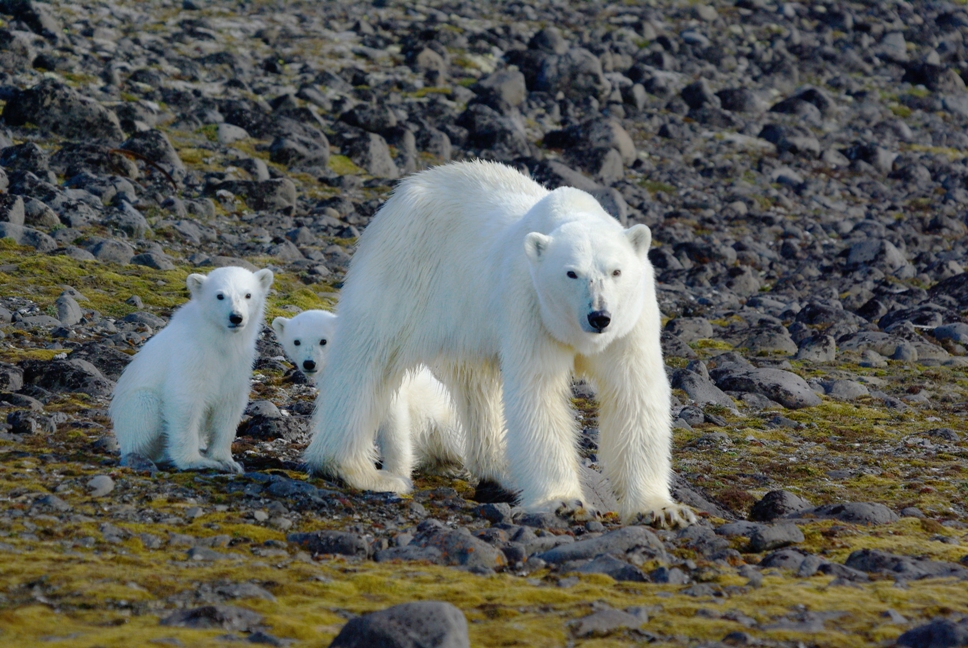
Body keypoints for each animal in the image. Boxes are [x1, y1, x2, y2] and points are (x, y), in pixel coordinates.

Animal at [306, 161, 692, 528]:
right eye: (571, 272)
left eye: (616, 271)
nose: (599, 316)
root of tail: (406, 189)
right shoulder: (530, 304)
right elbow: (538, 393)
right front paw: (565, 503)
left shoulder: (632, 321)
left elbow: (634, 393)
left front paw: (660, 509)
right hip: (405, 269)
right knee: (367, 361)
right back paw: (359, 471)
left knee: (477, 386)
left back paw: (501, 469)